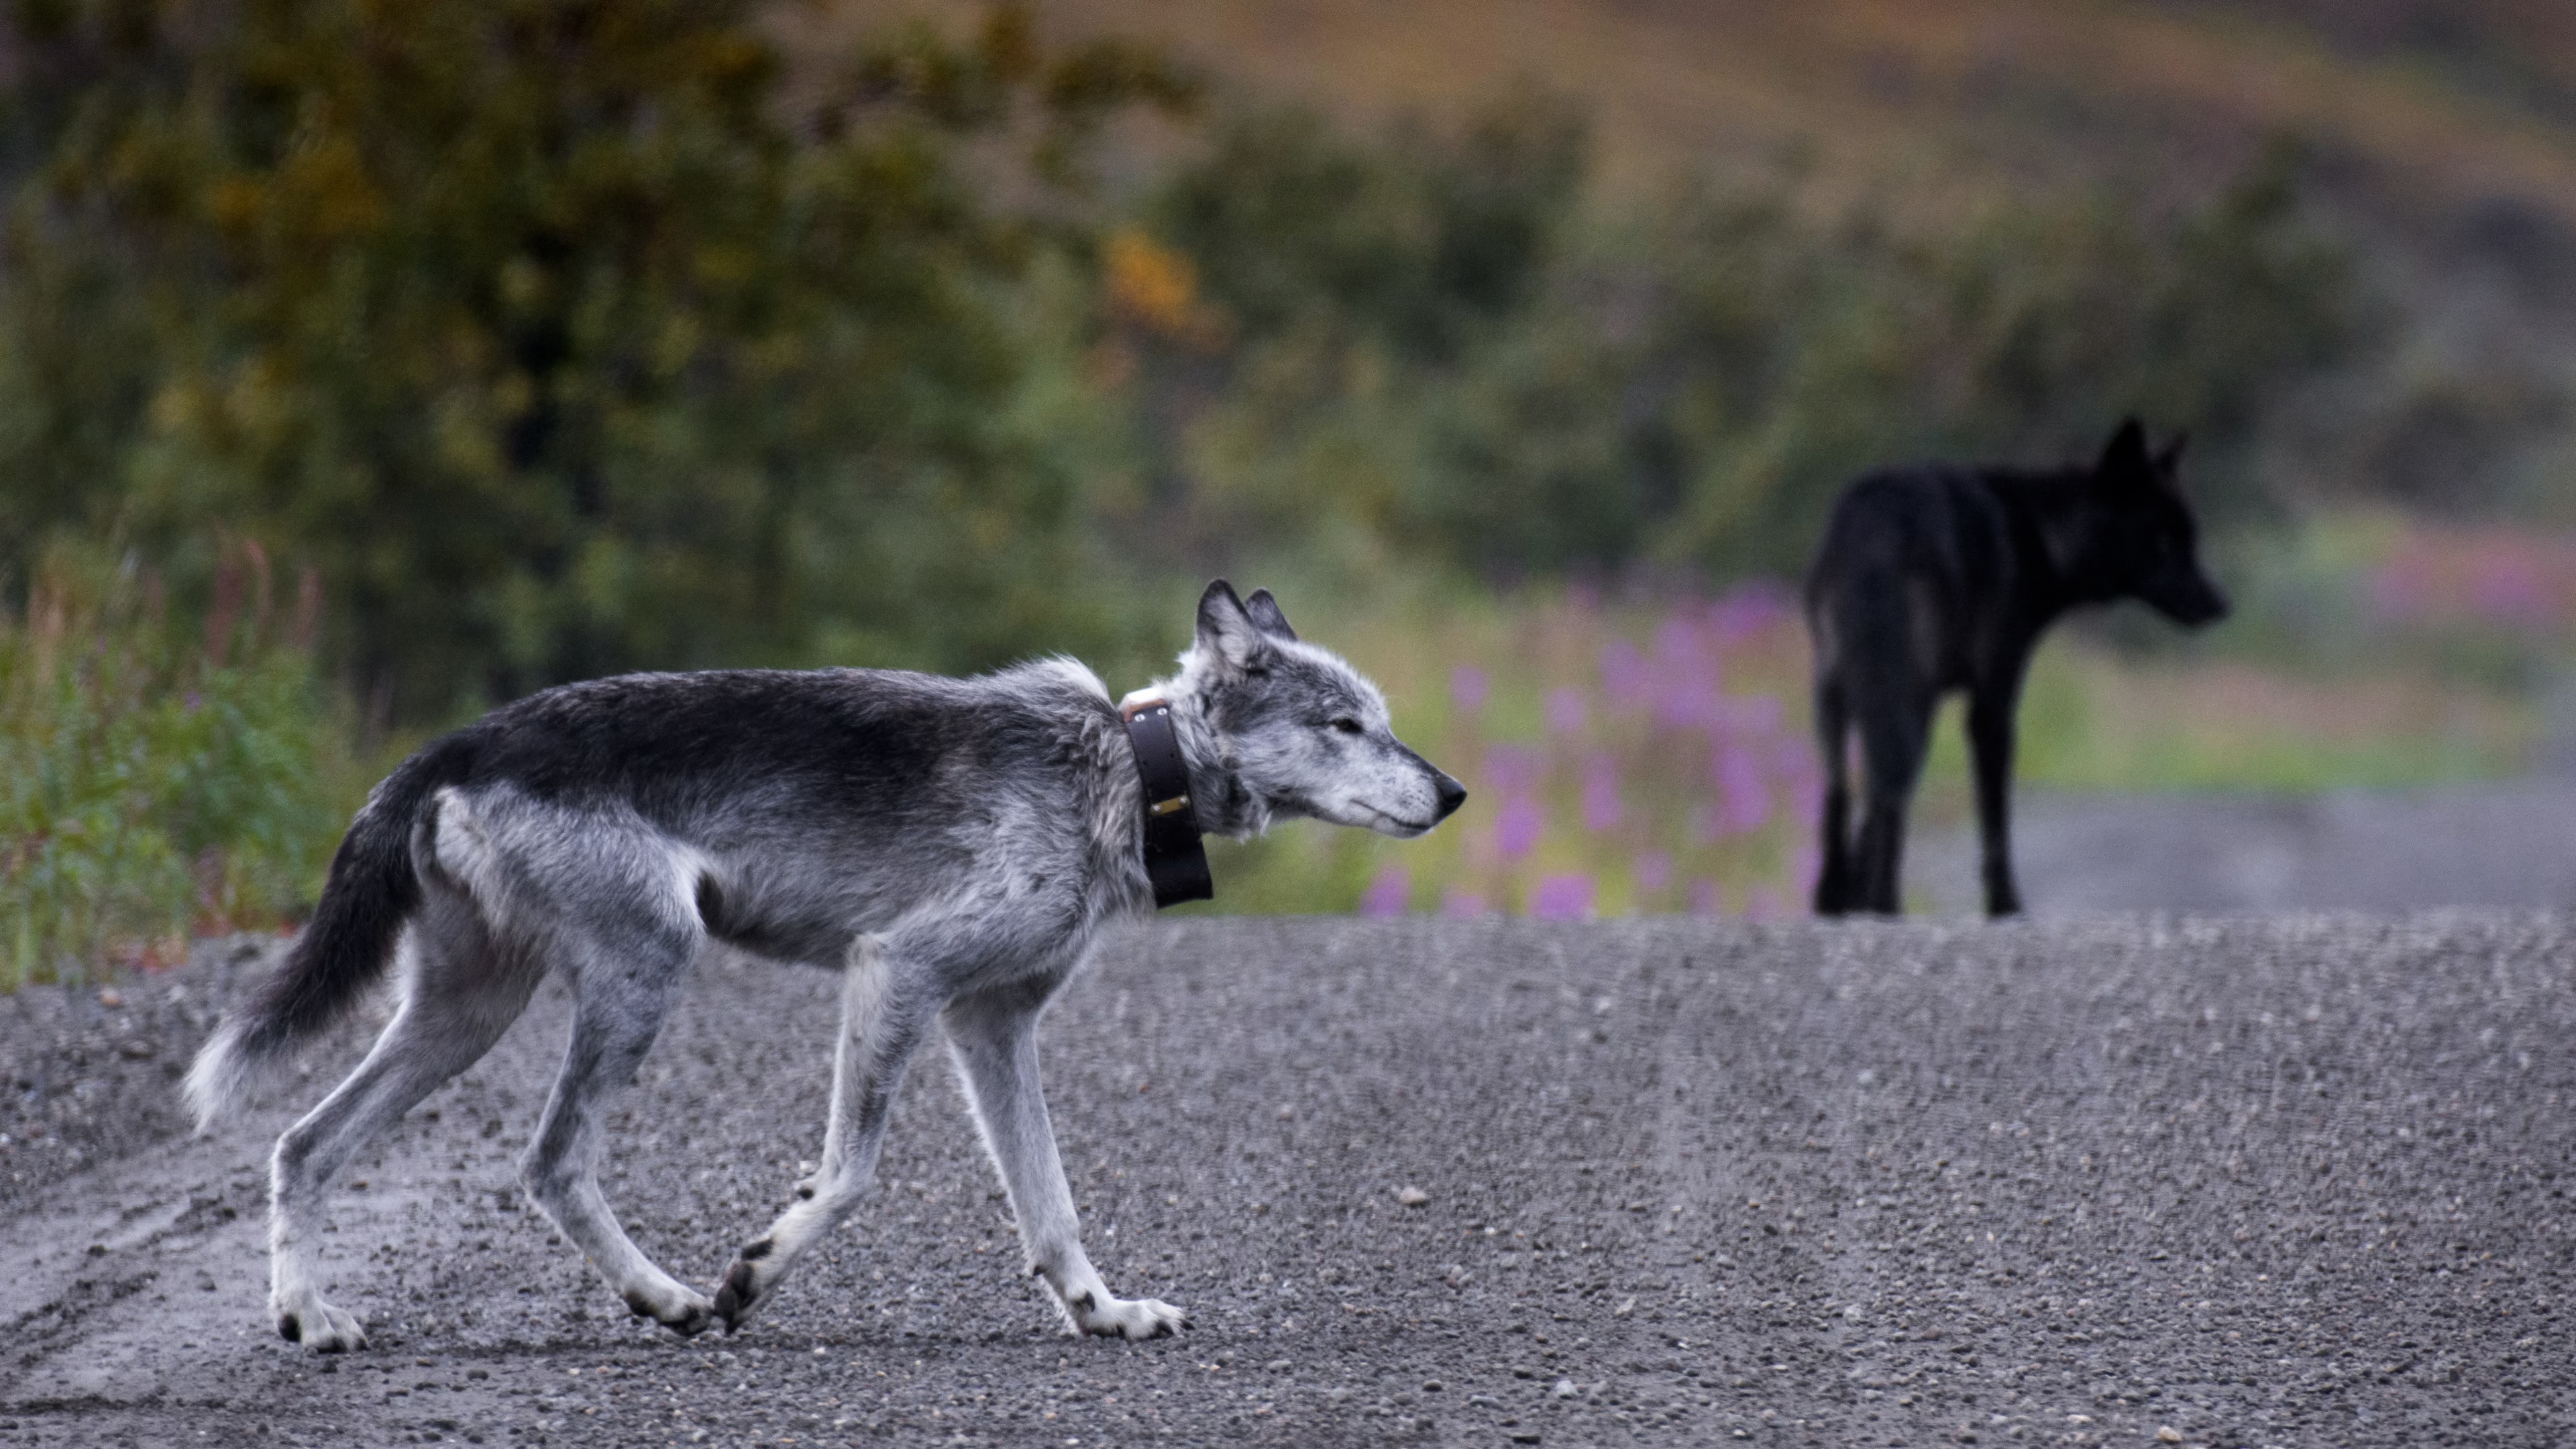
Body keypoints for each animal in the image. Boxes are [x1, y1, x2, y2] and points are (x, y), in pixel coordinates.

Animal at [184, 575, 1473, 1340]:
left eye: (1383, 720)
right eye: (1347, 726)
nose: (1457, 794)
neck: (1120, 768)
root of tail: (457, 742)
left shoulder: (992, 1026)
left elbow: (1052, 1207)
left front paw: (1102, 1313)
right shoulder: (898, 973)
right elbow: (847, 1177)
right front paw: (756, 1269)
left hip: (467, 1016)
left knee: (303, 1145)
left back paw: (309, 1318)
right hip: (643, 972)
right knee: (546, 1164)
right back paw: (674, 1298)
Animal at [1803, 417, 2225, 912]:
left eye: (2191, 539)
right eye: (2163, 542)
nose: (2222, 605)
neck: (2043, 532)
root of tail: (1877, 523)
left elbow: (1869, 806)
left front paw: (1851, 898)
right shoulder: (1993, 704)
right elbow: (1995, 819)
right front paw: (2005, 905)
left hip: (1837, 697)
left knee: (1842, 792)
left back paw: (1834, 898)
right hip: (1909, 700)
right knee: (1889, 793)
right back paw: (1884, 903)